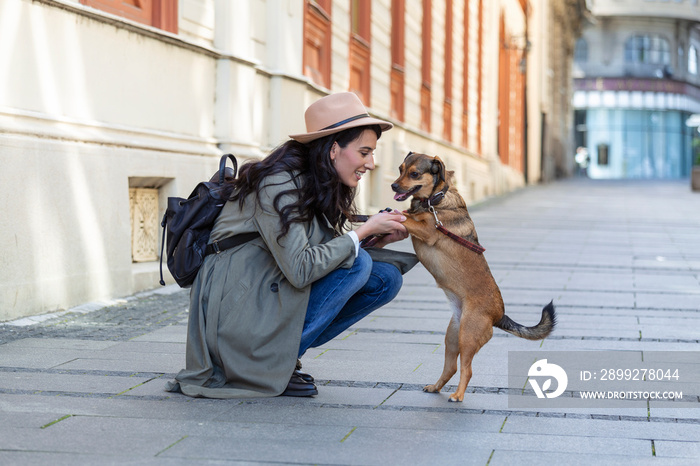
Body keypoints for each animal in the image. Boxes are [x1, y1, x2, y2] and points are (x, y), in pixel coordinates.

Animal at [392, 153, 556, 400]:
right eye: (400, 169)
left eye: (414, 174)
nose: (393, 186)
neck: (433, 201)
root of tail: (499, 315)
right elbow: (404, 216)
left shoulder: (428, 232)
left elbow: (404, 217)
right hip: (453, 336)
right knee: (451, 367)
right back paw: (436, 387)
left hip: (467, 337)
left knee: (467, 370)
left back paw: (457, 396)